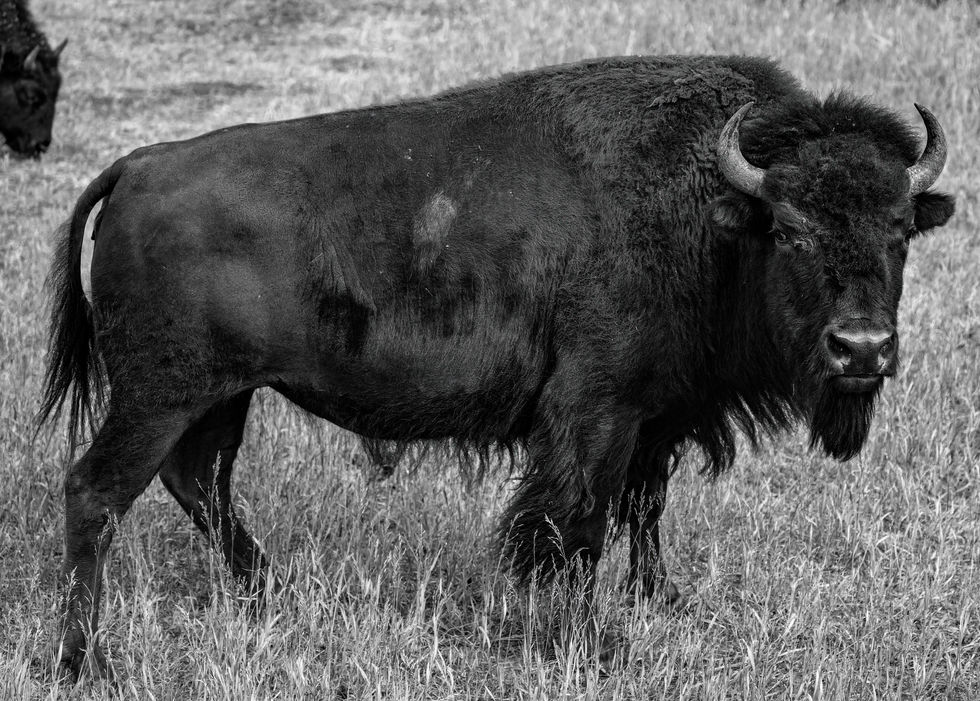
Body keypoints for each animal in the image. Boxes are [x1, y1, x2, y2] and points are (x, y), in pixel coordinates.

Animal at [39, 55, 954, 678]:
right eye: (791, 229)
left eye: (900, 228)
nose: (862, 349)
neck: (714, 208)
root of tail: (138, 165)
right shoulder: (595, 413)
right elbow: (573, 524)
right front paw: (584, 640)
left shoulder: (655, 416)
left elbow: (643, 509)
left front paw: (659, 600)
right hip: (160, 397)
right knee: (97, 491)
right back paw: (83, 660)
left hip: (220, 398)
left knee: (200, 482)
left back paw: (275, 593)